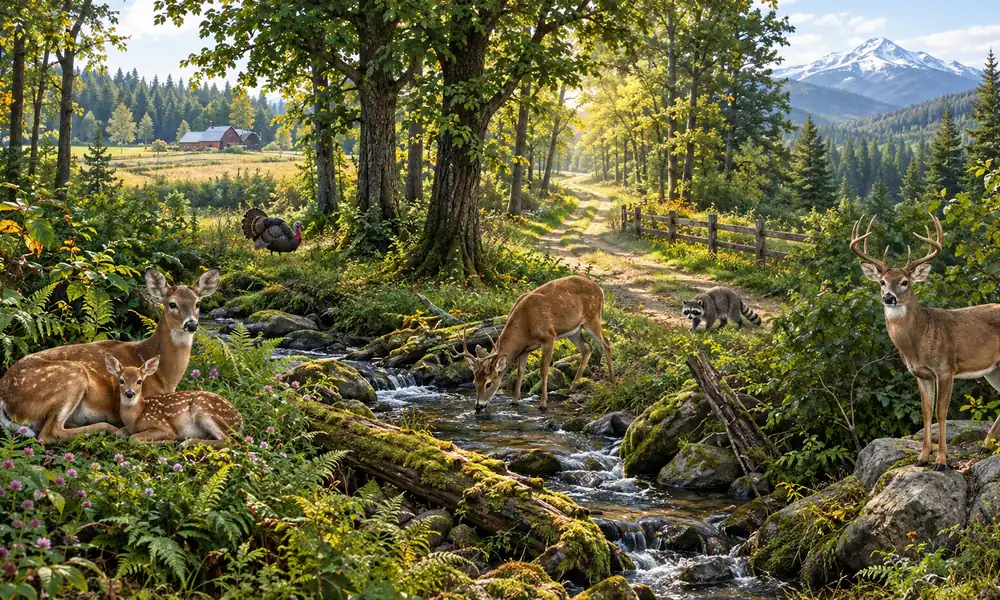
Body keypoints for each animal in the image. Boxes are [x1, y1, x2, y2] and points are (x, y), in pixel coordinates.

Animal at [0, 268, 220, 442]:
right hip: (71, 375)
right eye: (172, 304)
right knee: (49, 433)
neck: (165, 376)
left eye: (198, 303)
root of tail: (4, 396)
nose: (191, 324)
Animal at [104, 354, 242, 446]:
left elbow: (133, 439)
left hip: (202, 407)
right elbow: (119, 433)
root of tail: (240, 420)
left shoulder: (163, 426)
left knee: (231, 441)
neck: (135, 418)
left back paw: (185, 443)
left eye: (139, 381)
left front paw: (168, 441)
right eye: (121, 380)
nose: (129, 393)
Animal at [455, 275, 617, 414]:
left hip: (592, 318)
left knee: (606, 343)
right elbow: (520, 371)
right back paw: (572, 389)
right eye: (474, 382)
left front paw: (543, 404)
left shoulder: (549, 337)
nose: (478, 406)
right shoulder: (524, 349)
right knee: (587, 348)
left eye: (488, 383)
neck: (525, 325)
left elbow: (544, 370)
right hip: (574, 330)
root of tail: (600, 289)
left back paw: (613, 381)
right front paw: (514, 401)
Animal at [851, 213, 1000, 470]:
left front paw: (941, 460)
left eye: (905, 282)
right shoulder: (920, 374)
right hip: (993, 370)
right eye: (882, 281)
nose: (888, 297)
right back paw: (986, 445)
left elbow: (941, 413)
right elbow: (926, 412)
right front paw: (922, 458)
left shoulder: (946, 369)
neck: (919, 342)